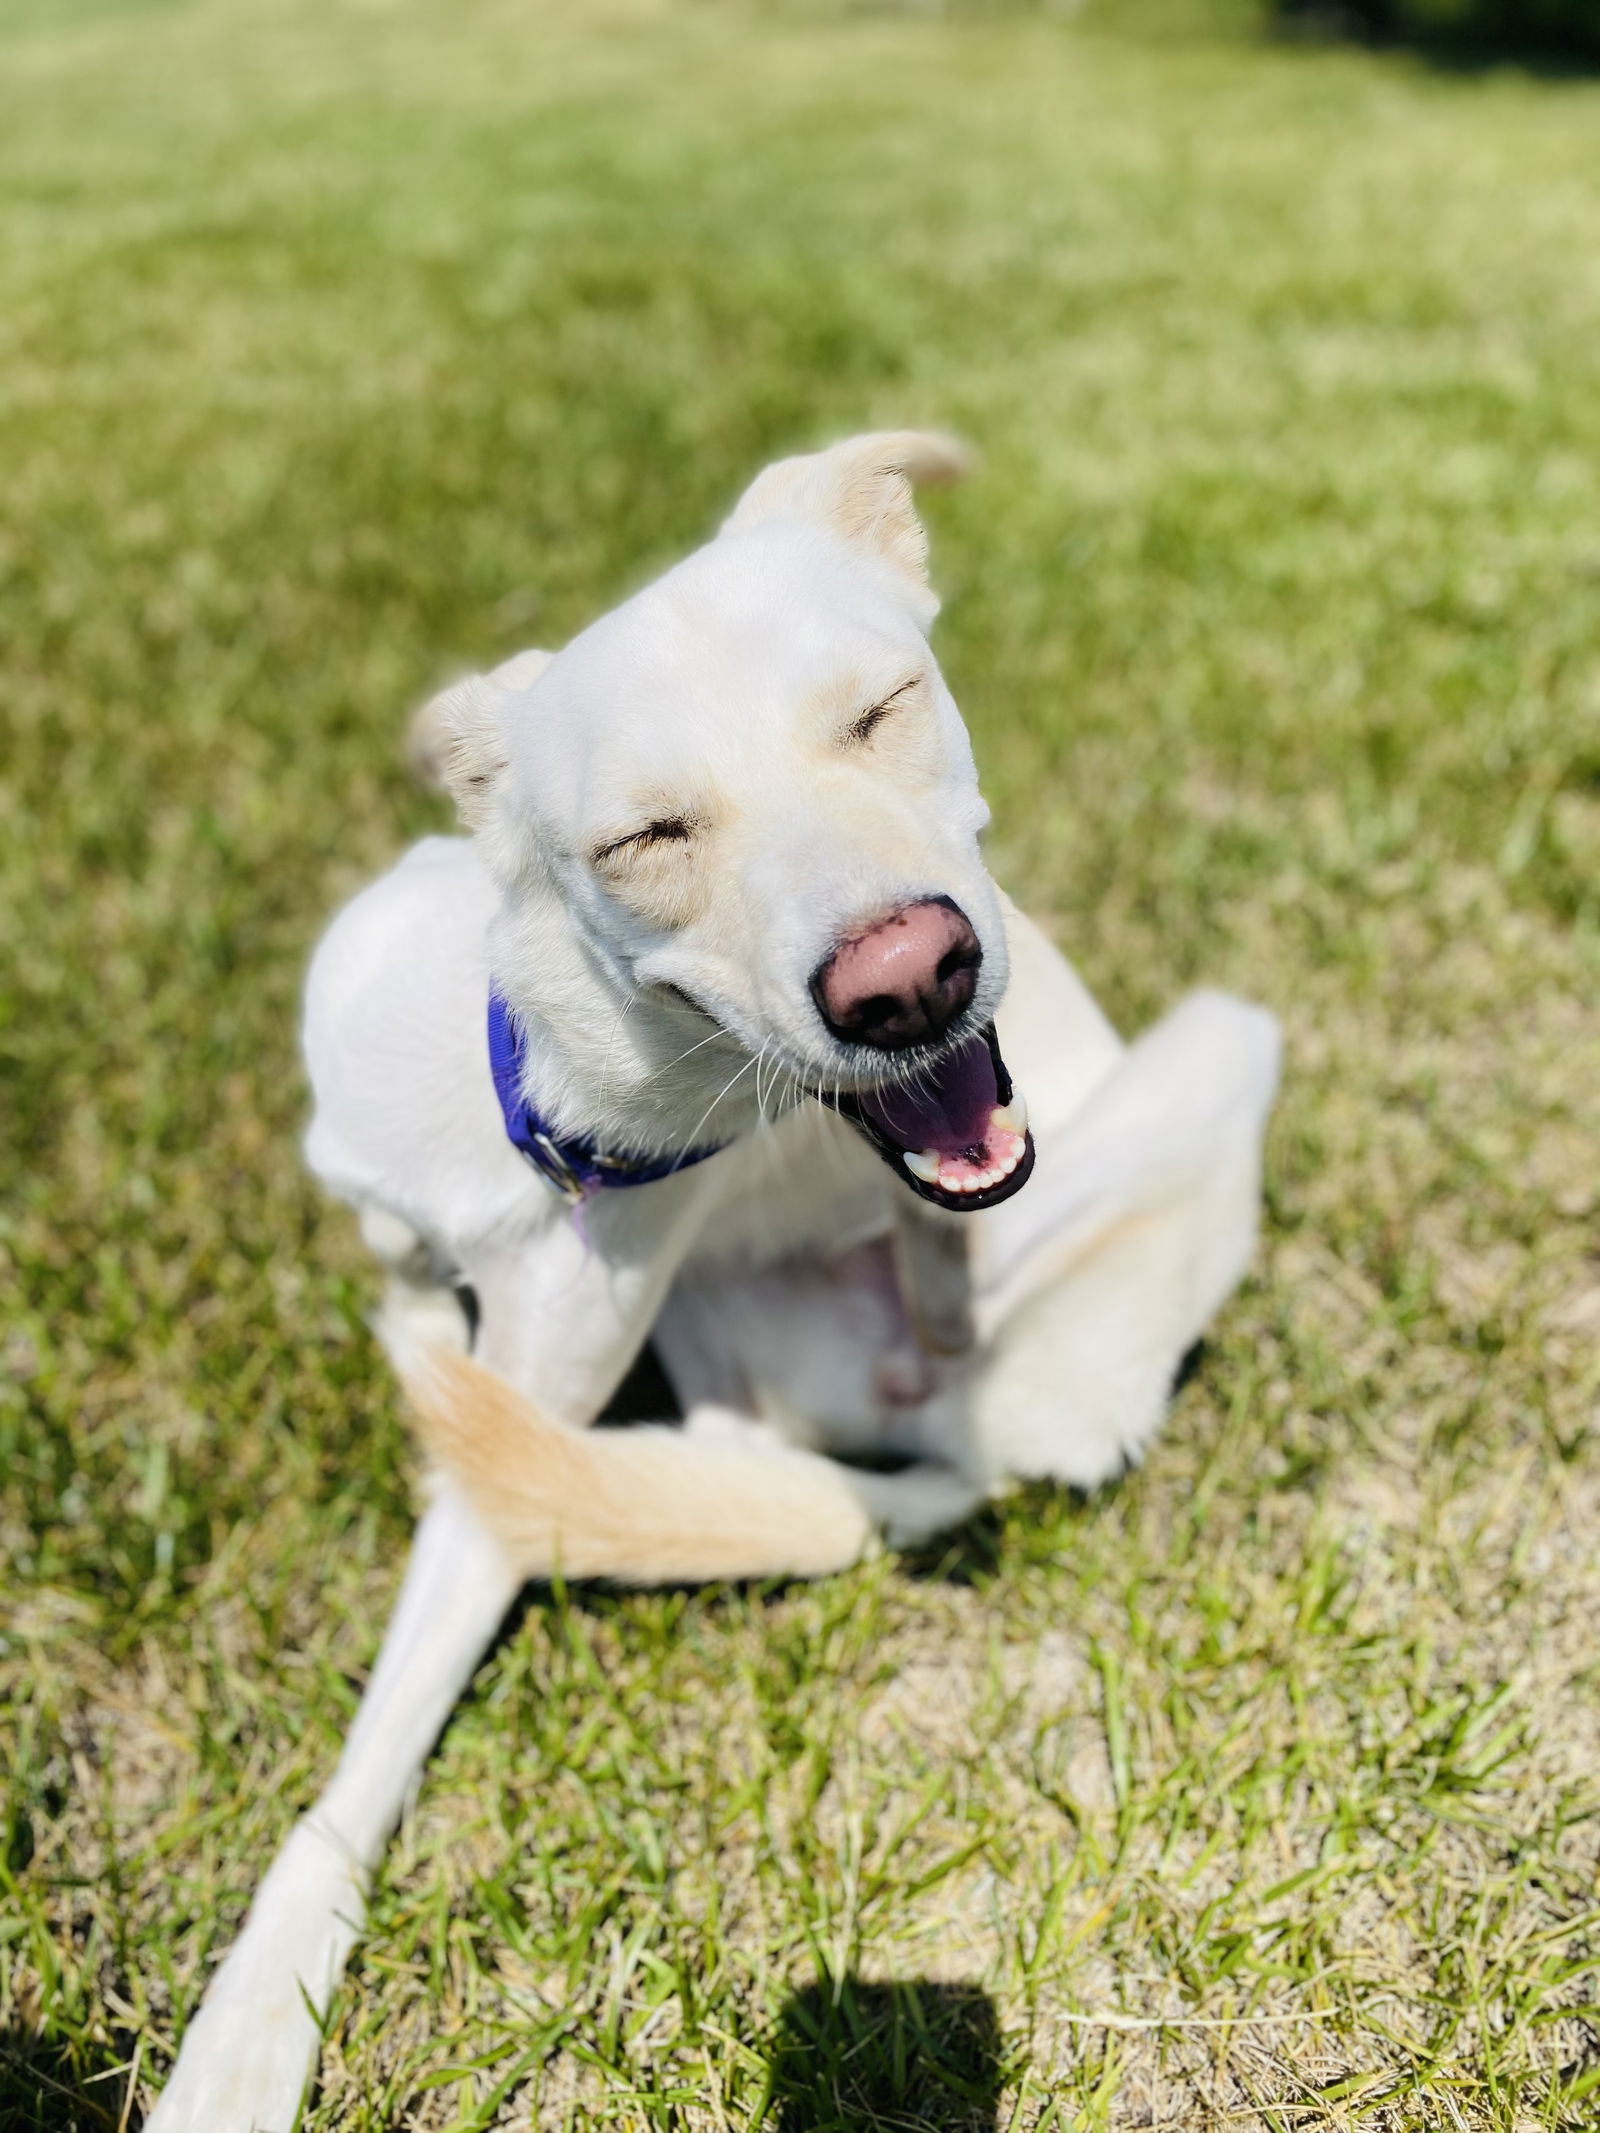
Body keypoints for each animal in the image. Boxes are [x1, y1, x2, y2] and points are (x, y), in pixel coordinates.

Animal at [147, 437, 1280, 2133]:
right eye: (649, 838)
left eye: (884, 706)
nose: (910, 979)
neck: (548, 1119)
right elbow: (400, 1285)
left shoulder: (510, 1466)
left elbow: (355, 1778)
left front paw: (244, 2036)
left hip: (1213, 1051)